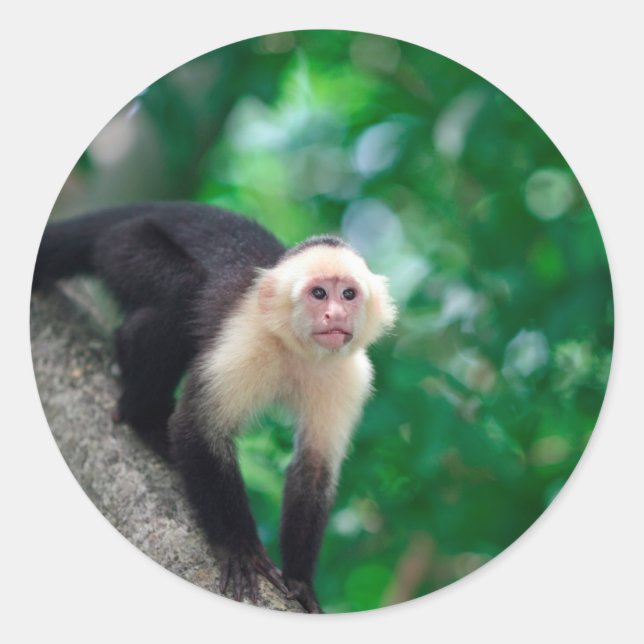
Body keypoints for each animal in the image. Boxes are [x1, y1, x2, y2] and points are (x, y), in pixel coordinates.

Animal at [32, 201, 397, 613]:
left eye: (348, 294)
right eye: (319, 293)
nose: (335, 315)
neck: (296, 349)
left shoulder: (348, 376)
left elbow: (314, 468)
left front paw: (301, 581)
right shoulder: (245, 342)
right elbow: (196, 429)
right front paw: (240, 549)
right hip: (125, 244)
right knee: (182, 290)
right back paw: (143, 414)